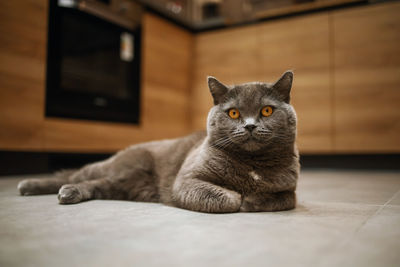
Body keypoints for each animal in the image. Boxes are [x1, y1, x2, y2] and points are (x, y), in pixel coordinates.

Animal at [18, 70, 300, 214]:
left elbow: (285, 198)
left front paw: (251, 200)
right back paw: (30, 185)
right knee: (73, 173)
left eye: (266, 111)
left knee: (96, 184)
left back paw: (69, 193)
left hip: (122, 185)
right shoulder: (187, 179)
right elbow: (224, 198)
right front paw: (238, 199)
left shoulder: (289, 187)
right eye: (233, 113)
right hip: (119, 165)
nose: (250, 125)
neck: (251, 166)